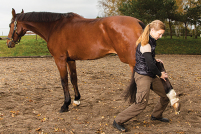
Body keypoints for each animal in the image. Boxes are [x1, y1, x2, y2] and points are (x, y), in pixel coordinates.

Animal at [6, 8, 144, 112]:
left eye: (10, 25)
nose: (8, 43)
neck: (55, 27)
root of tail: (138, 22)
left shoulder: (60, 59)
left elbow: (64, 81)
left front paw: (65, 104)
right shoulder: (70, 60)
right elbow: (73, 78)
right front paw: (76, 99)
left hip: (133, 62)